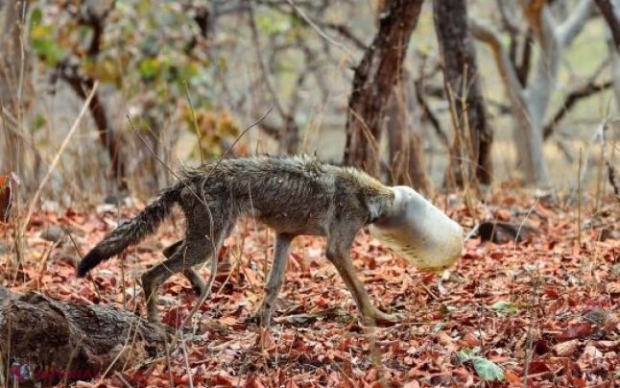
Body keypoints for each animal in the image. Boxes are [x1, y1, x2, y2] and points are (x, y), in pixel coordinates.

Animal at [77, 155, 462, 328]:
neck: (365, 194)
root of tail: (187, 178)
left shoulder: (284, 237)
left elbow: (273, 284)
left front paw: (262, 321)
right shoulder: (336, 250)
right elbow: (361, 291)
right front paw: (379, 317)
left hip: (209, 240)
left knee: (166, 252)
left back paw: (201, 288)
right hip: (208, 243)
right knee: (151, 273)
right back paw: (157, 324)